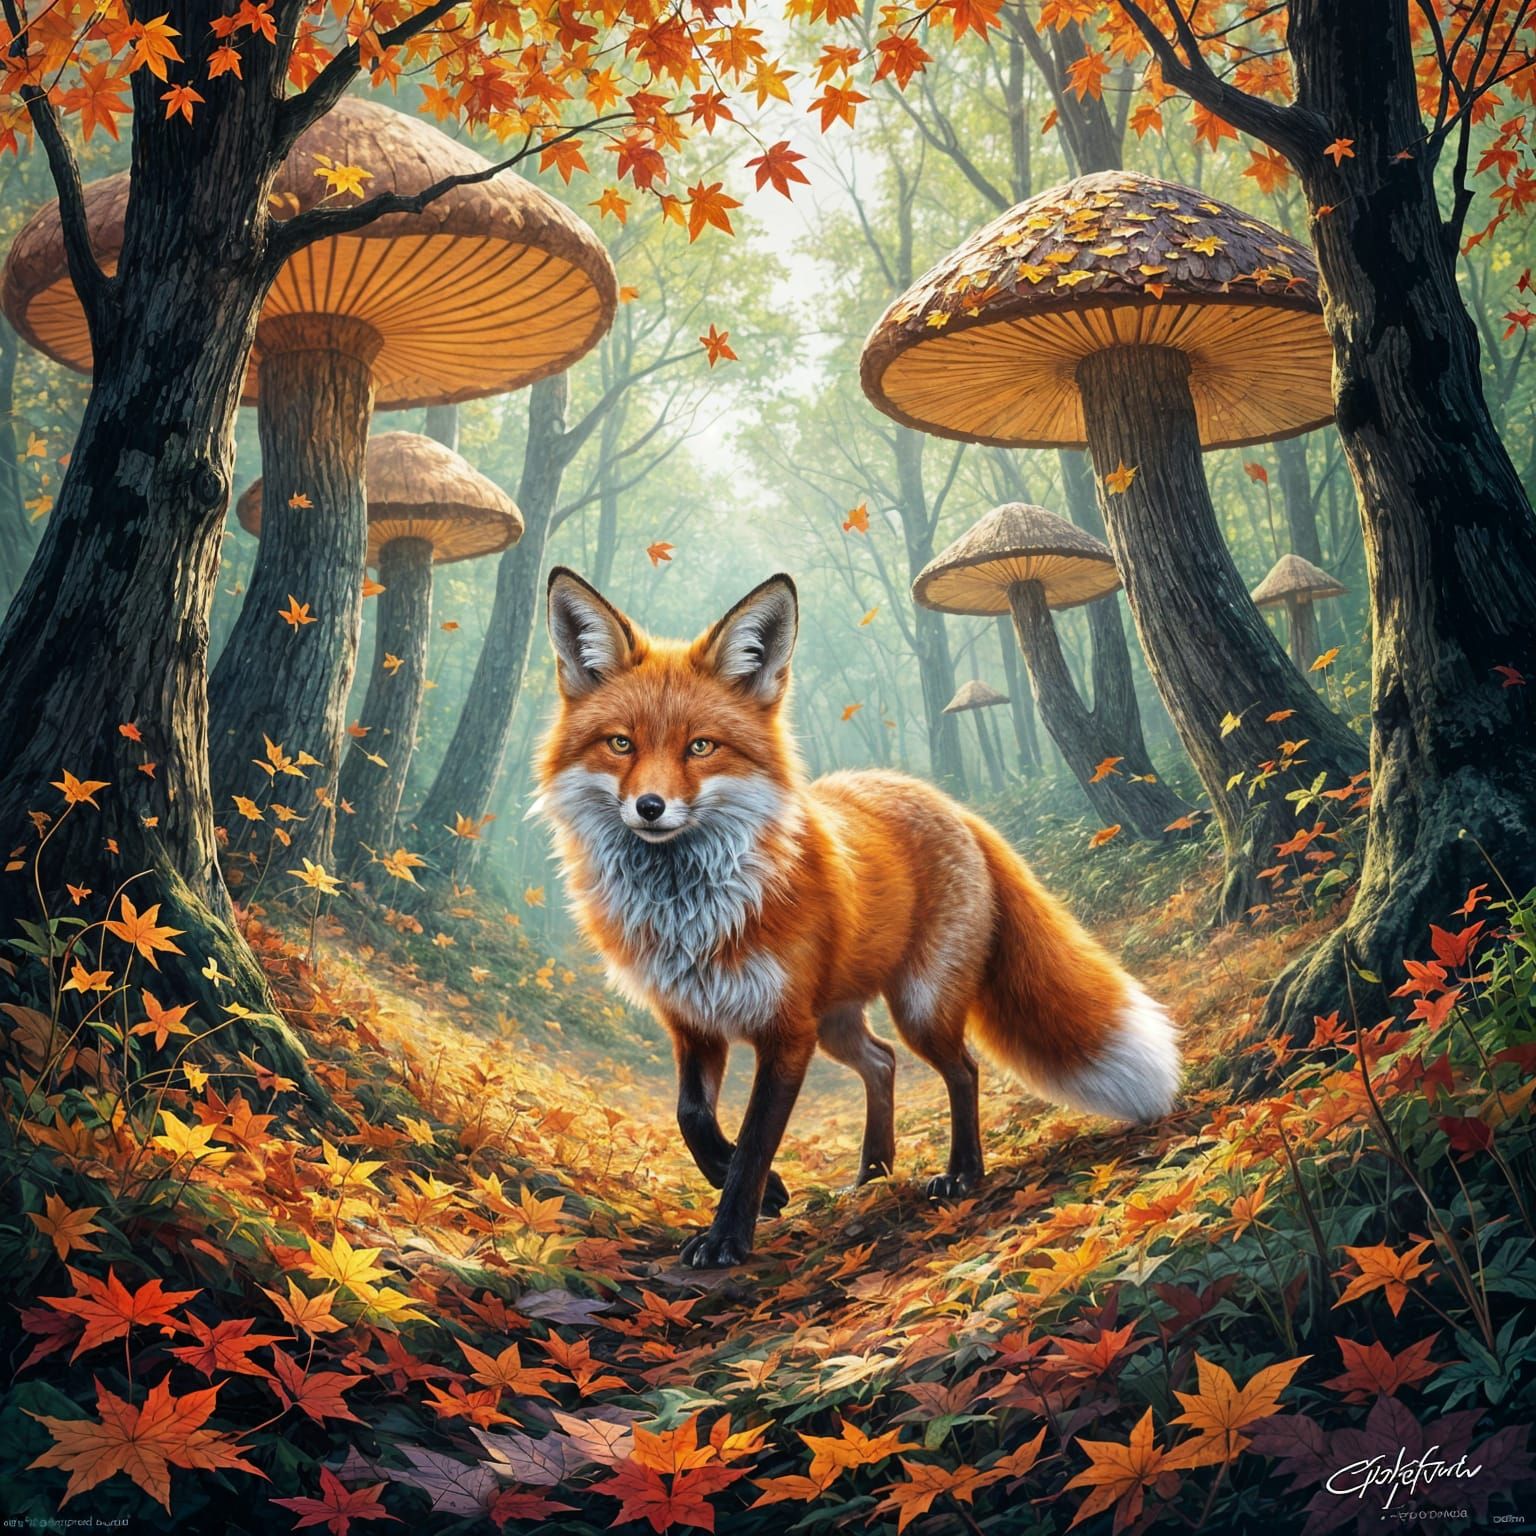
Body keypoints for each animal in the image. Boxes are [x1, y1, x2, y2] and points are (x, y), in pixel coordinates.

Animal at [536, 567, 1180, 1269]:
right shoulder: (693, 1023)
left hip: (918, 1005)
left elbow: (756, 1140)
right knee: (882, 1061)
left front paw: (730, 1235)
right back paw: (874, 1172)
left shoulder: (786, 1031)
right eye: (620, 744)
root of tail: (952, 805)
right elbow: (693, 1119)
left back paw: (962, 1172)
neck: (690, 913)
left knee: (962, 1068)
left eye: (701, 747)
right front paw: (767, 1193)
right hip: (838, 1022)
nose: (649, 807)